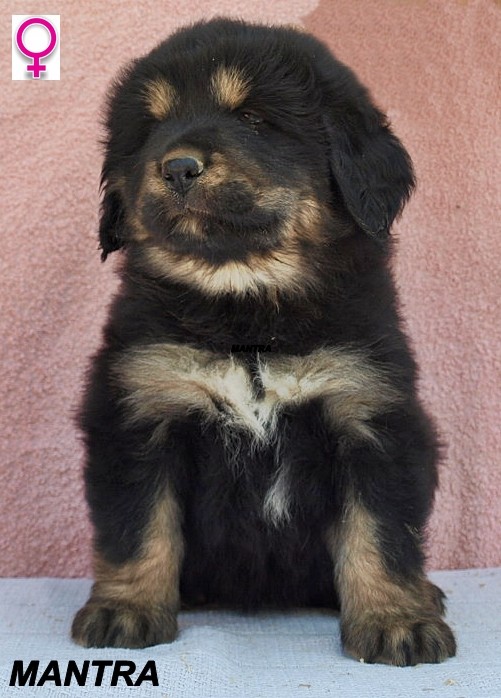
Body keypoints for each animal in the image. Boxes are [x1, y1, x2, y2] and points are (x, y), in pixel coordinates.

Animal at [72, 18, 456, 666]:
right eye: (151, 130)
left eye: (253, 119)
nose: (176, 167)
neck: (246, 319)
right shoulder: (140, 413)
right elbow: (137, 527)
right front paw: (124, 611)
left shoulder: (369, 415)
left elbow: (380, 533)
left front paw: (397, 622)